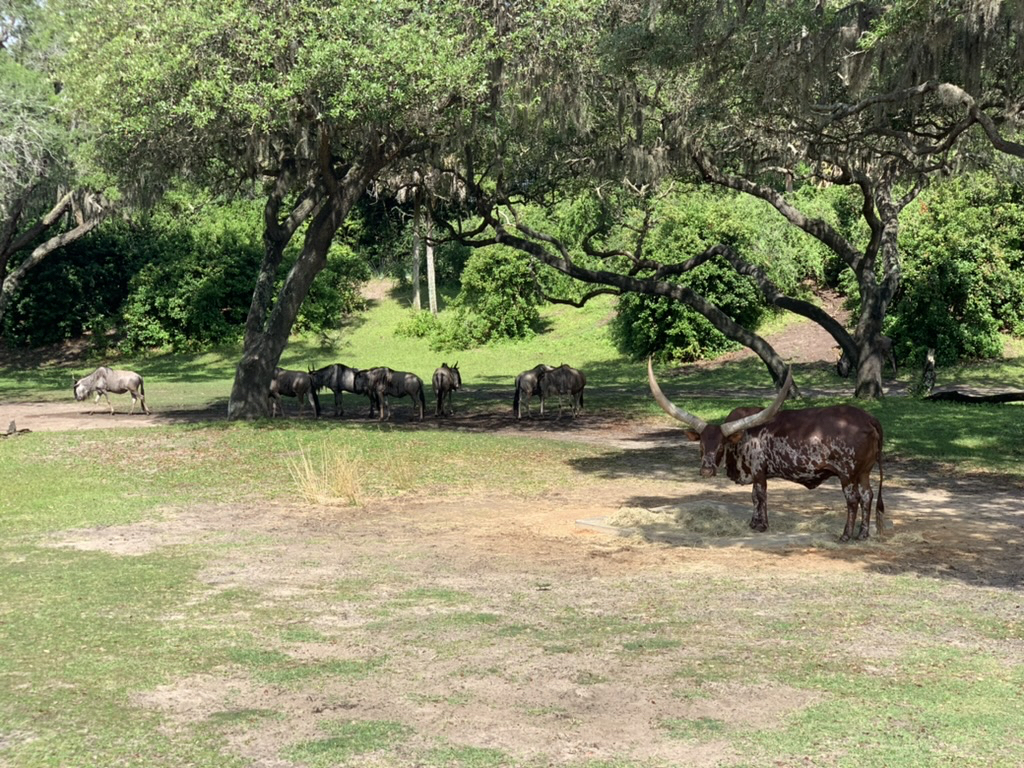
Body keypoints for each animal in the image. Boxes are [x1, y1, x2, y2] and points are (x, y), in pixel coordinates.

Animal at [651, 360, 884, 540]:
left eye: (721, 445)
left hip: (847, 473)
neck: (742, 439)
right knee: (867, 495)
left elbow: (760, 495)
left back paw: (846, 535)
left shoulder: (758, 470)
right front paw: (753, 523)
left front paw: (762, 525)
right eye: (701, 444)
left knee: (853, 499)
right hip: (864, 471)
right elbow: (754, 496)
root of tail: (868, 418)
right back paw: (863, 534)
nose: (707, 470)